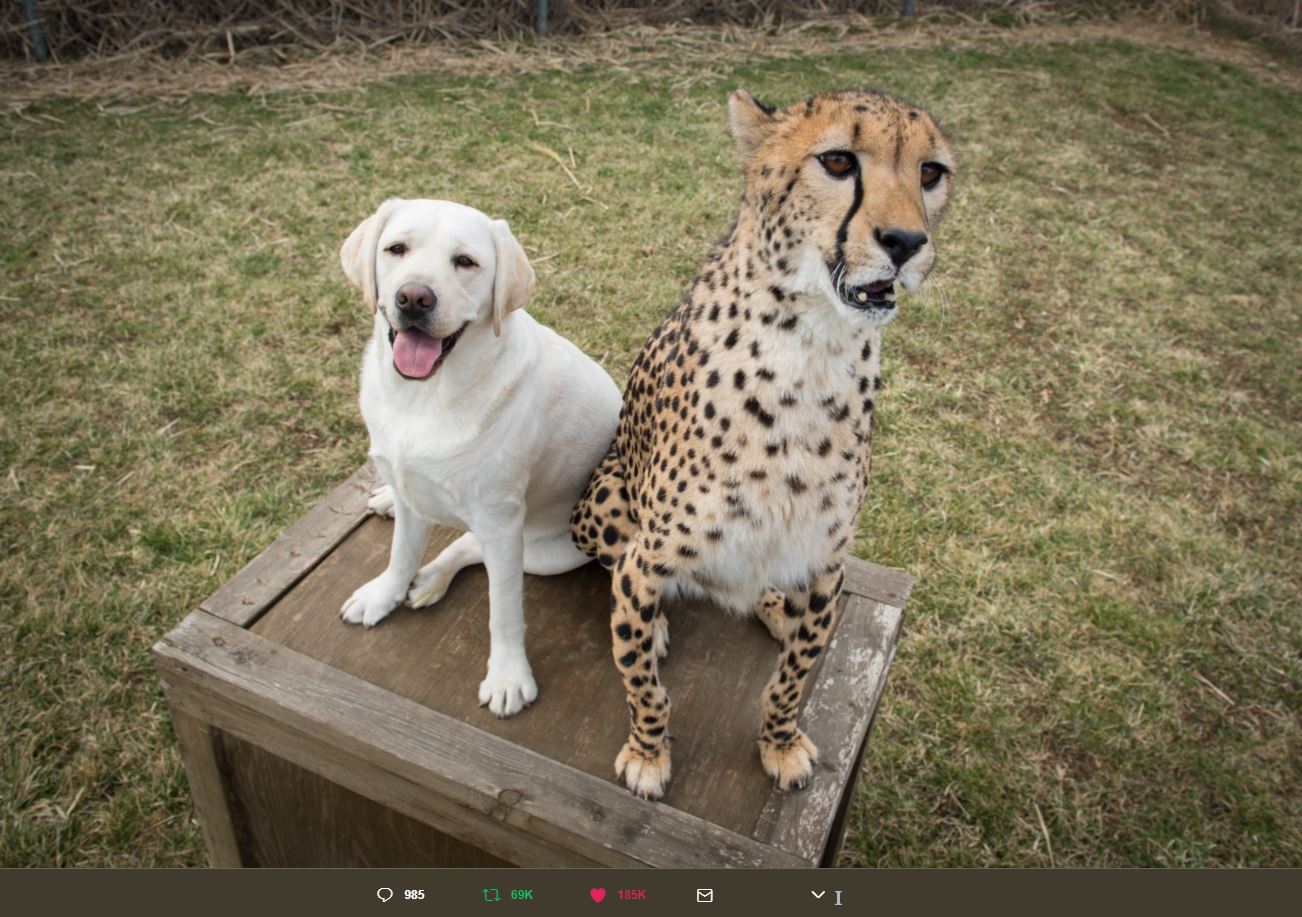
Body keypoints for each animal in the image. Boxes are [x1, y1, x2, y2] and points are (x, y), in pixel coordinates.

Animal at [335, 199, 619, 719]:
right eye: (396, 249)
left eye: (465, 262)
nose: (413, 298)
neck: (423, 397)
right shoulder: (411, 491)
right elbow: (401, 555)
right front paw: (384, 594)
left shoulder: (501, 522)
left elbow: (502, 610)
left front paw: (508, 676)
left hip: (552, 552)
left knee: (471, 547)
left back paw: (434, 576)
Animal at [572, 89, 958, 797]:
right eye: (838, 161)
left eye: (931, 172)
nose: (906, 242)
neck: (812, 348)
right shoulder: (647, 558)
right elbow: (641, 680)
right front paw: (648, 750)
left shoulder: (827, 563)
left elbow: (794, 677)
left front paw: (780, 742)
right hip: (604, 498)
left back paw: (775, 602)